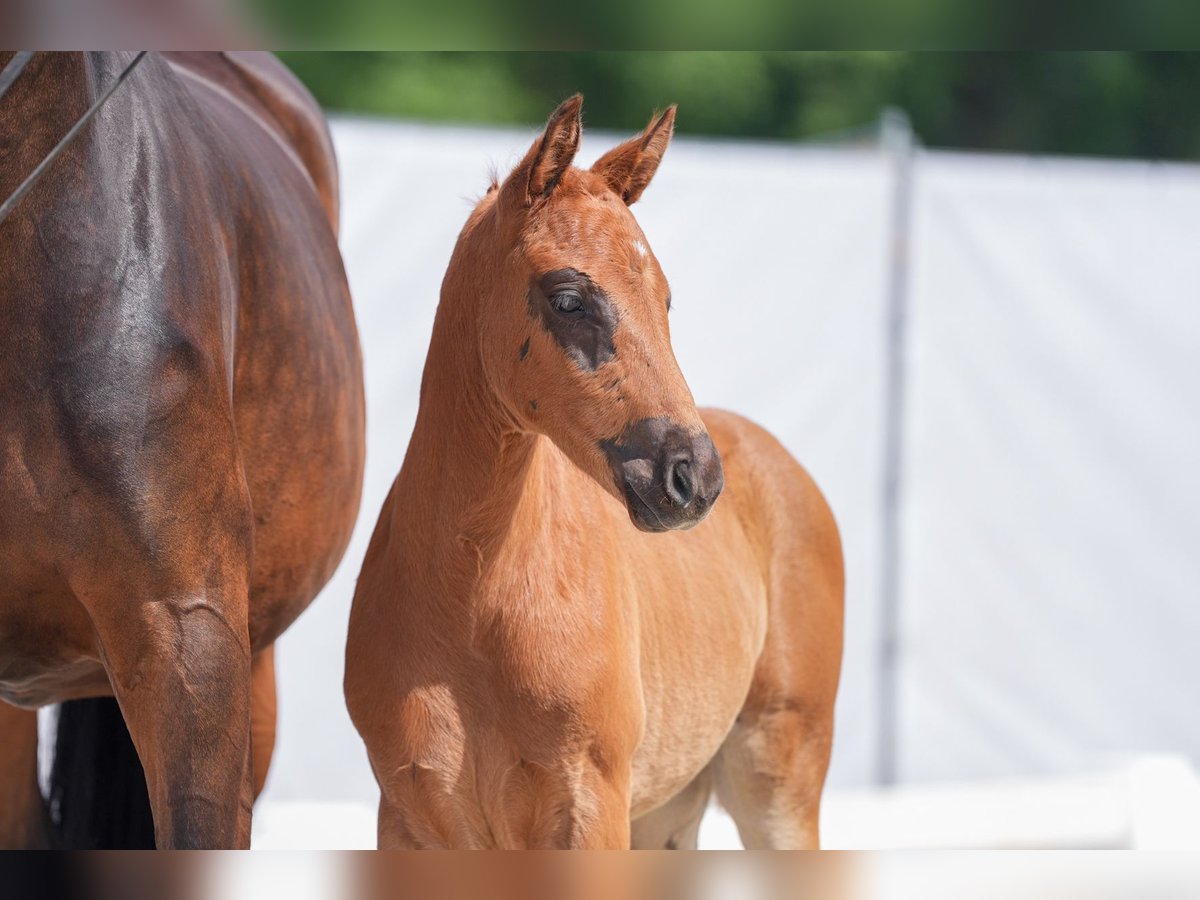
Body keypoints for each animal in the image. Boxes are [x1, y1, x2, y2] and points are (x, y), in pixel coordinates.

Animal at [343, 98, 840, 854]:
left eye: (664, 299)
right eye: (569, 298)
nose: (693, 477)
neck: (472, 599)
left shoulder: (588, 808)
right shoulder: (409, 819)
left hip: (776, 784)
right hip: (668, 813)